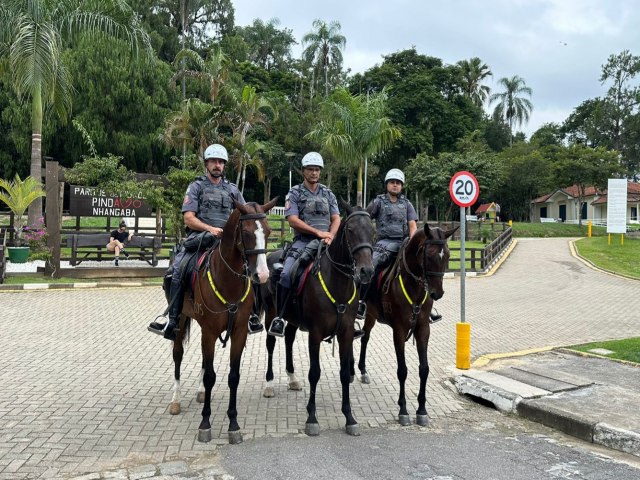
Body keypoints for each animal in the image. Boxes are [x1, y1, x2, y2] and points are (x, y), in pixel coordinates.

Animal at [170, 198, 278, 442]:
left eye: (268, 231)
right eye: (246, 233)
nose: (262, 275)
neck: (228, 281)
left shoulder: (238, 332)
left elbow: (233, 376)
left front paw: (234, 424)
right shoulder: (209, 332)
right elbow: (210, 376)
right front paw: (205, 423)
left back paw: (201, 393)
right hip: (181, 321)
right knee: (178, 355)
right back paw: (176, 400)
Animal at [258, 202, 376, 436]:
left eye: (372, 231)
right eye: (350, 231)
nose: (366, 271)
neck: (336, 283)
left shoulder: (346, 334)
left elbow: (344, 373)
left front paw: (350, 418)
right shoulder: (315, 334)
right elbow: (314, 373)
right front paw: (311, 418)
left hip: (293, 320)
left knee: (289, 340)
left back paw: (293, 378)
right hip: (271, 315)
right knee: (271, 343)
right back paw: (269, 384)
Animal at [356, 223, 456, 426]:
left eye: (448, 255)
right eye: (429, 255)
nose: (437, 293)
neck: (414, 287)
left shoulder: (423, 329)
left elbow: (424, 369)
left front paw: (422, 410)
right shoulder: (399, 331)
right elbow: (402, 370)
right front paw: (403, 410)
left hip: (371, 315)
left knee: (365, 338)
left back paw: (363, 370)